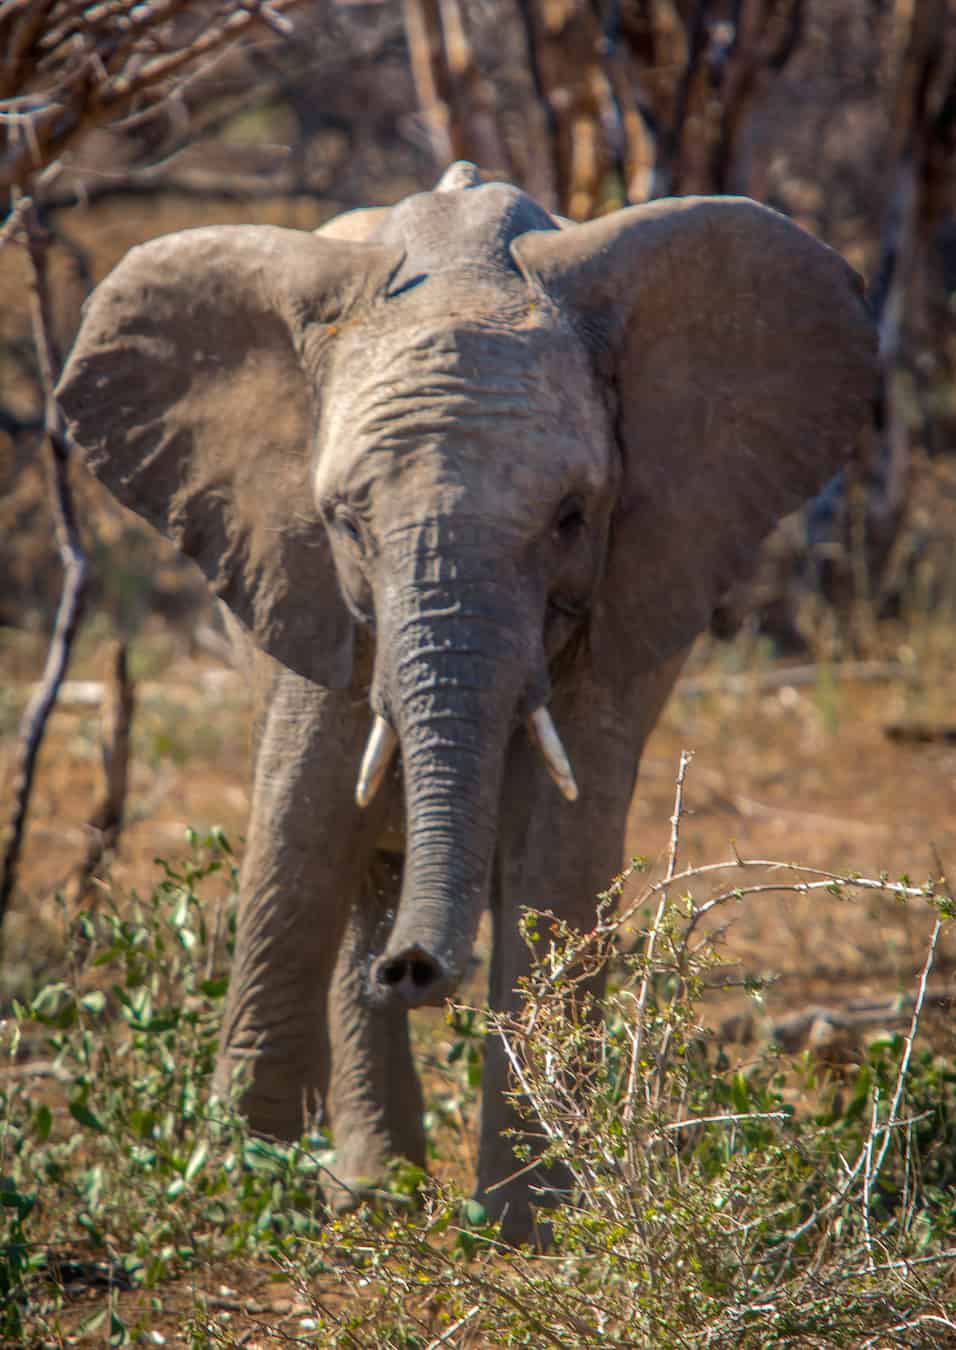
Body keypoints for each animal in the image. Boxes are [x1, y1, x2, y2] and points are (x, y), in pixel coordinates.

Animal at [54, 163, 874, 1236]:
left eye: (572, 517)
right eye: (344, 521)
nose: (412, 973)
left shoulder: (636, 571)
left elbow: (558, 846)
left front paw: (539, 1228)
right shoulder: (298, 572)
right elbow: (305, 819)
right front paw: (243, 1196)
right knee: (363, 852)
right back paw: (374, 1190)